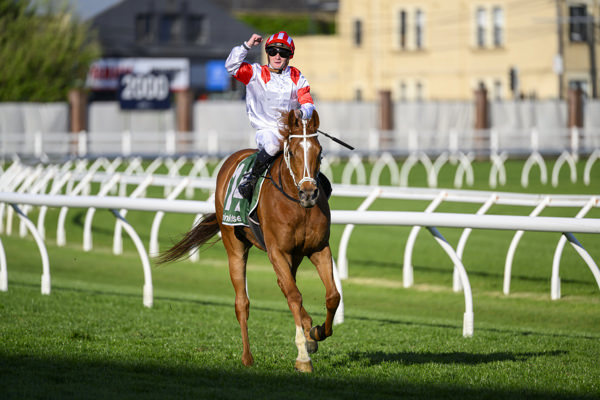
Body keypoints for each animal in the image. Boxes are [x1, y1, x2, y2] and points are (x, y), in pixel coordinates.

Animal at [157, 109, 340, 372]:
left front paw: (316, 332)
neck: (297, 206)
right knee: (243, 302)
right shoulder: (277, 251)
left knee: (285, 285)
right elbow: (295, 296)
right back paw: (247, 357)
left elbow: (332, 296)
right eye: (292, 152)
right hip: (235, 246)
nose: (309, 193)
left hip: (293, 256)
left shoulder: (318, 248)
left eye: (319, 152)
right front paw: (303, 356)